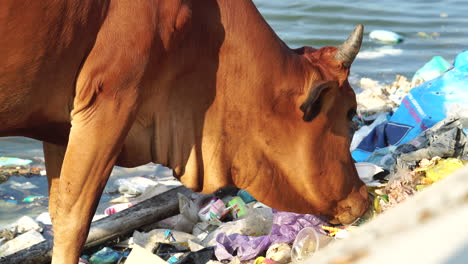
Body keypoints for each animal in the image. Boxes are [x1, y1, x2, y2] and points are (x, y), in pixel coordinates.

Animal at [0, 0, 370, 264]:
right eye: (350, 115)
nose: (364, 197)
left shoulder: (61, 126)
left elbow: (58, 210)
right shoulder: (108, 104)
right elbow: (74, 222)